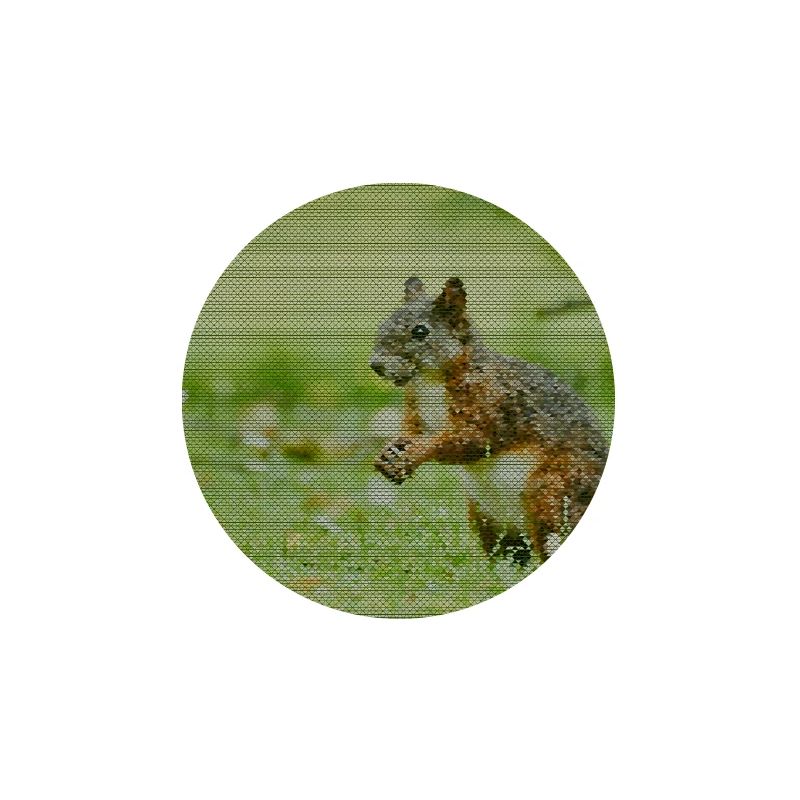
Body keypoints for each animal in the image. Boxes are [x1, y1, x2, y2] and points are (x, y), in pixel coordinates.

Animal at [370, 277, 609, 567]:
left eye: (420, 331)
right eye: (384, 322)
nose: (376, 364)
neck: (430, 382)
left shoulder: (494, 404)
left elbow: (470, 440)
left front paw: (416, 452)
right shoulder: (415, 411)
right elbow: (411, 431)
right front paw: (389, 453)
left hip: (551, 489)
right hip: (485, 515)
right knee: (508, 550)